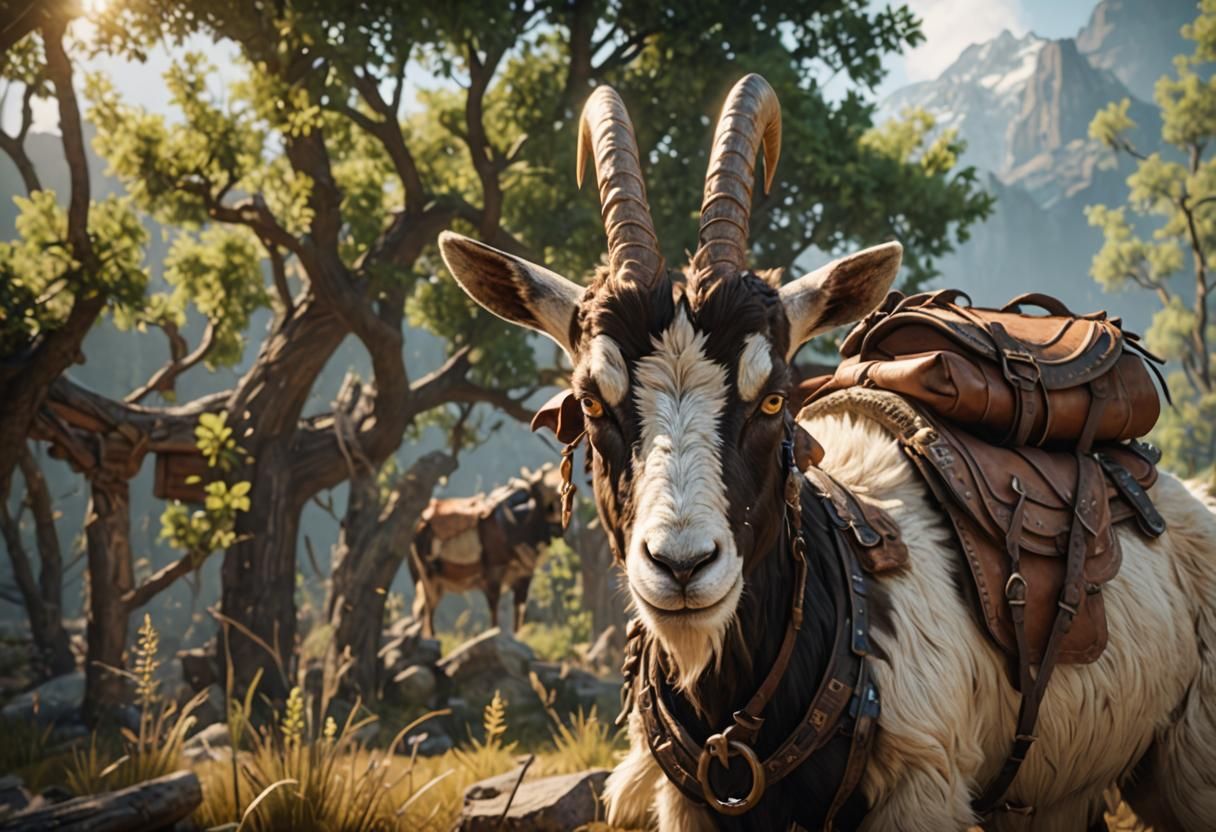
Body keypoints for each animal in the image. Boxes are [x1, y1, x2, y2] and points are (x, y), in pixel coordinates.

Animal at [437, 74, 1216, 831]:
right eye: (592, 400)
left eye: (774, 399)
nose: (682, 566)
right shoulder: (690, 808)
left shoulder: (920, 789)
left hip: (1188, 759)